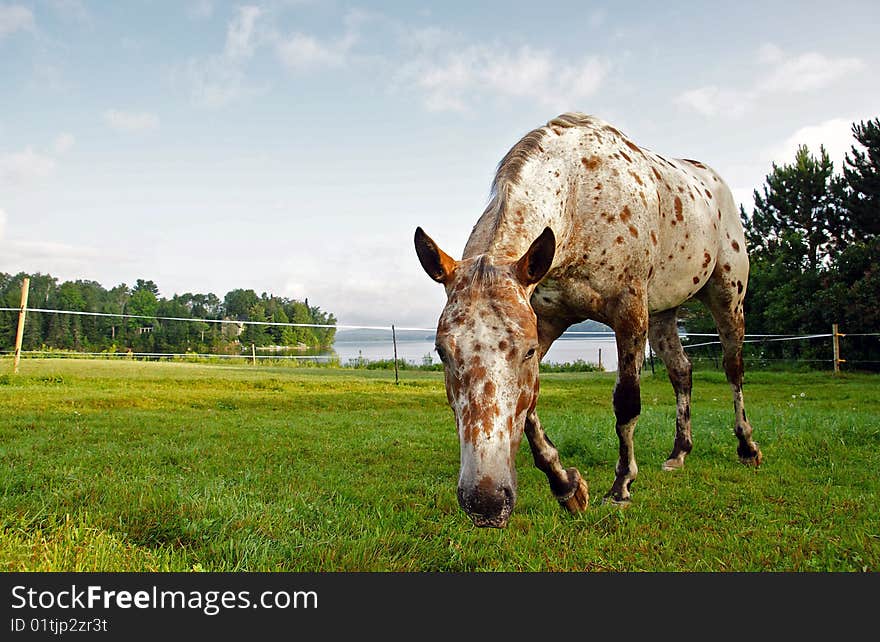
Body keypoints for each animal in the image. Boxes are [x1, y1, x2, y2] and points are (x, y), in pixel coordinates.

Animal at [416, 112, 760, 528]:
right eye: (442, 352)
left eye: (525, 351)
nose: (485, 503)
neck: (580, 197)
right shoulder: (547, 320)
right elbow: (528, 410)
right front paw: (568, 487)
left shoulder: (628, 314)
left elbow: (626, 403)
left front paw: (621, 486)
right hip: (663, 313)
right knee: (682, 371)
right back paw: (679, 453)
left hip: (727, 296)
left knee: (733, 367)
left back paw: (747, 446)